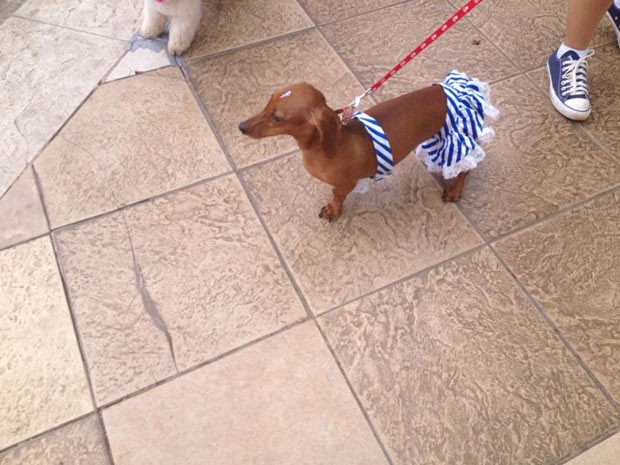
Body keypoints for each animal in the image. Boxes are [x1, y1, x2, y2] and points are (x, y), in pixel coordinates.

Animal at [239, 70, 498, 221]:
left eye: (277, 118)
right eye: (268, 101)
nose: (241, 126)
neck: (327, 146)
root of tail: (453, 91)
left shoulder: (345, 184)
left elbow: (337, 196)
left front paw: (333, 210)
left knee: (467, 168)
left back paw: (454, 190)